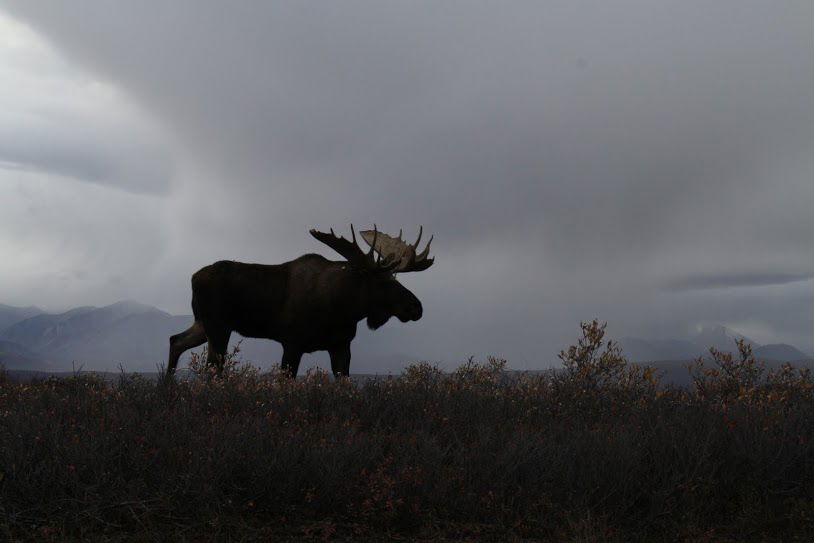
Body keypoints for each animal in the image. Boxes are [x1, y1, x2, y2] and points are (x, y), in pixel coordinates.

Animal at [165, 225, 434, 378]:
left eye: (395, 278)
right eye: (381, 282)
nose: (416, 307)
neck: (343, 309)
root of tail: (193, 278)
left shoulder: (341, 346)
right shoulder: (292, 343)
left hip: (205, 324)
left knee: (176, 340)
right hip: (218, 326)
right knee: (212, 368)